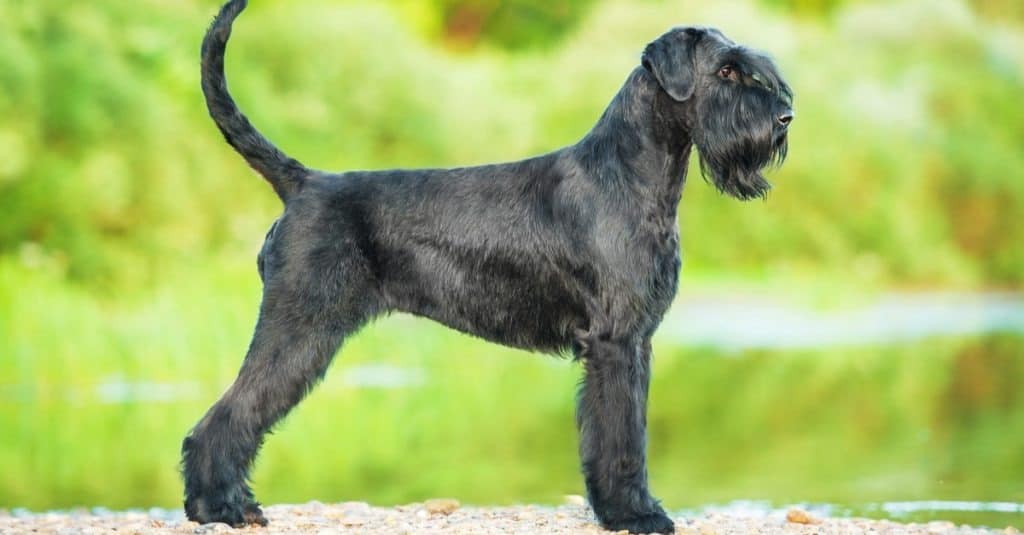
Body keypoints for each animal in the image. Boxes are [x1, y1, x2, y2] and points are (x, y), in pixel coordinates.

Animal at [184, 2, 790, 528]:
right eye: (726, 70)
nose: (785, 116)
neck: (627, 174)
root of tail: (304, 184)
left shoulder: (637, 341)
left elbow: (627, 431)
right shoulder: (616, 341)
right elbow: (620, 437)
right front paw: (635, 516)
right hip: (301, 328)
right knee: (228, 416)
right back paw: (221, 508)